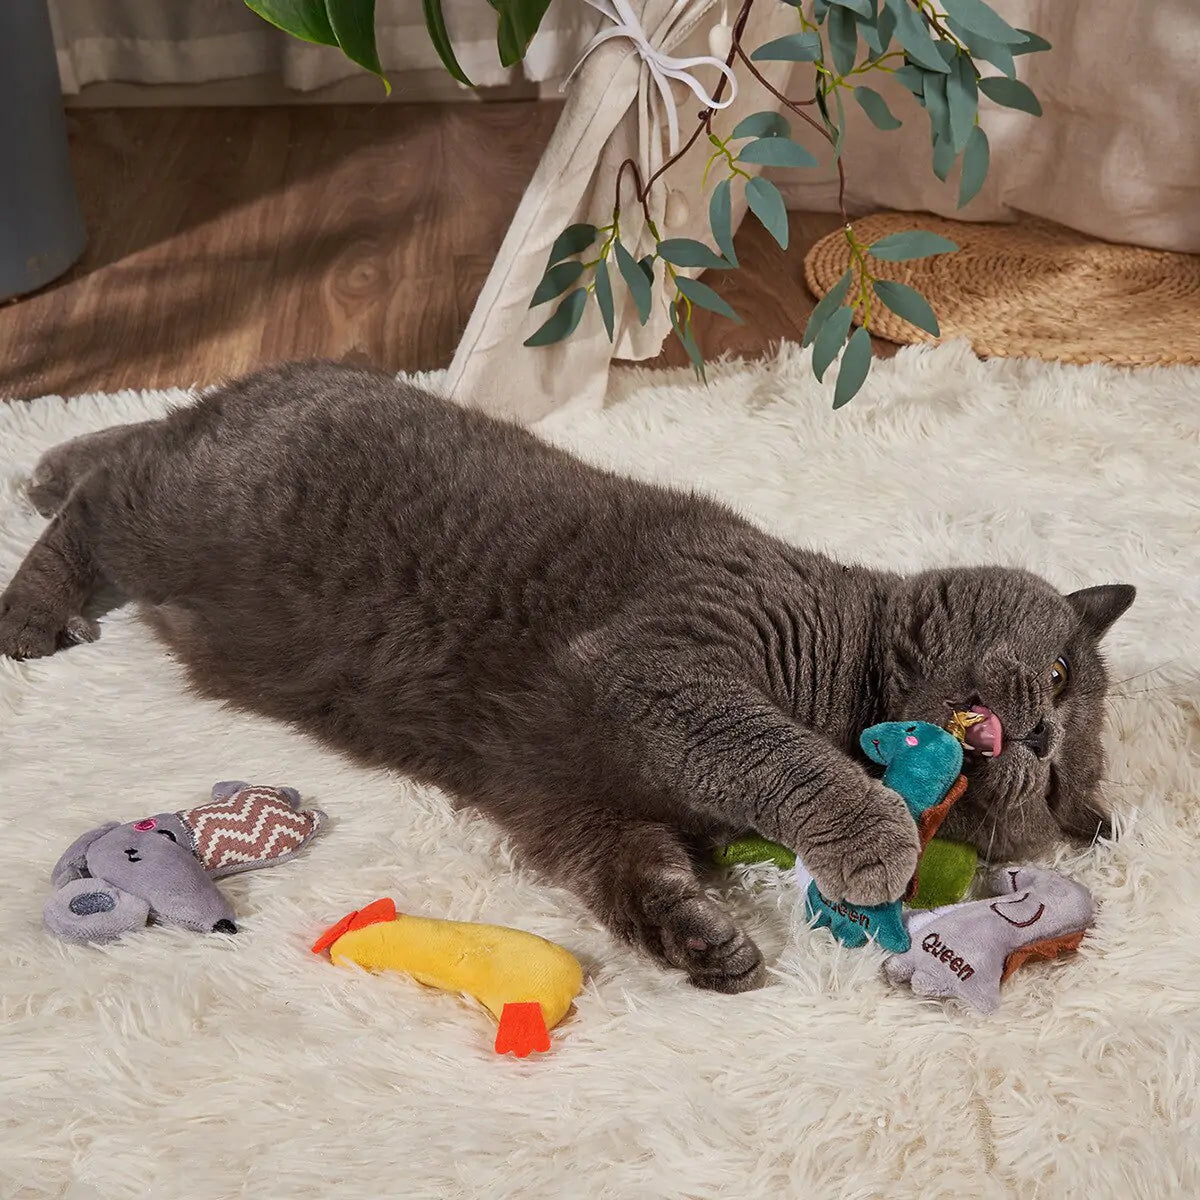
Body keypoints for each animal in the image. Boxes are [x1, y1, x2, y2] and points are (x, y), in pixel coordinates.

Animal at [0, 360, 1128, 988]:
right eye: (1059, 674)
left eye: (1058, 785)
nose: (1041, 736)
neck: (852, 668)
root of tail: (270, 378)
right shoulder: (663, 665)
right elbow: (778, 751)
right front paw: (869, 834)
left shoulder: (568, 802)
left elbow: (631, 874)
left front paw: (701, 942)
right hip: (200, 513)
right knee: (110, 487)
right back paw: (31, 601)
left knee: (130, 449)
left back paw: (48, 467)